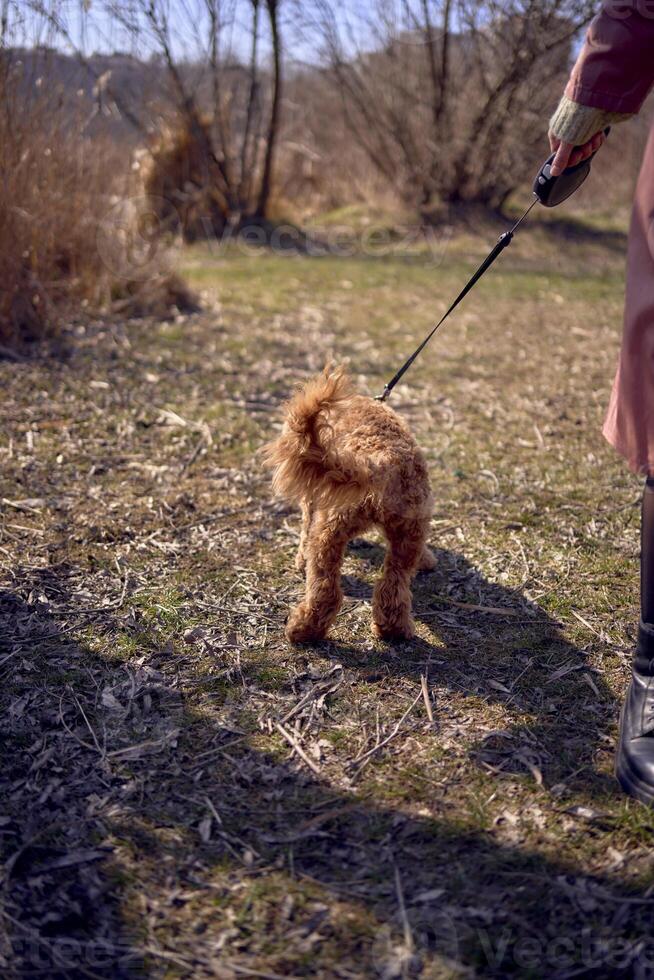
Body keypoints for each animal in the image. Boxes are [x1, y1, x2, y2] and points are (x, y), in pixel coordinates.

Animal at [266, 368, 436, 644]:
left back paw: (302, 630)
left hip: (329, 533)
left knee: (325, 590)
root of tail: (381, 464)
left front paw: (300, 559)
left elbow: (304, 529)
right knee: (393, 585)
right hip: (409, 534)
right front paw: (428, 559)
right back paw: (394, 630)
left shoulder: (312, 499)